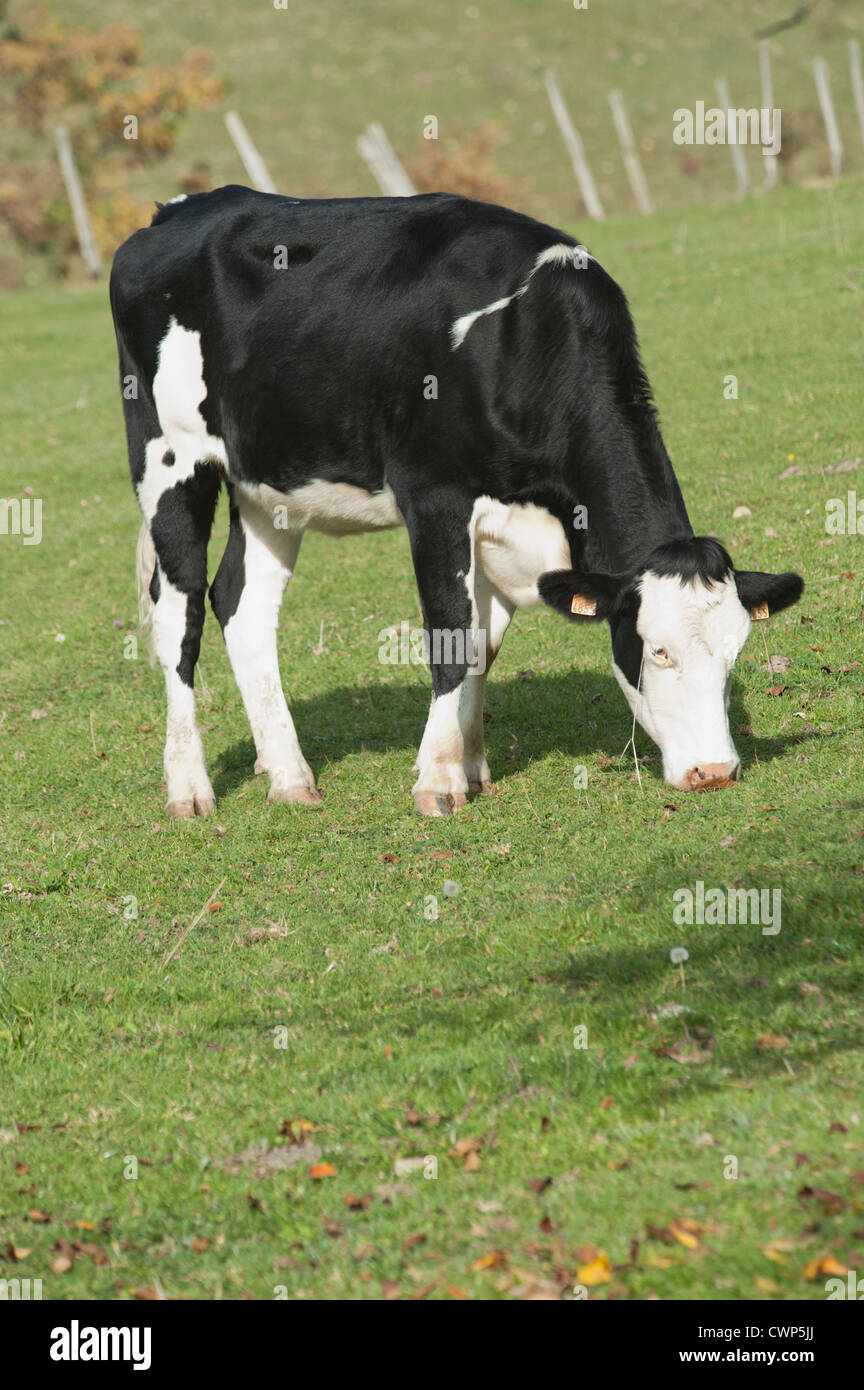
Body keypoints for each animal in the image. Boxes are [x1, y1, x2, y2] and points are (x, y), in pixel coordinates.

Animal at [109, 185, 803, 818]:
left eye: (737, 650)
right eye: (657, 648)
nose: (715, 772)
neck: (523, 339)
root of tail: (180, 209)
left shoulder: (500, 527)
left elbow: (481, 646)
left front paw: (470, 766)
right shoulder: (435, 496)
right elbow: (450, 634)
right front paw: (438, 780)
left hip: (267, 485)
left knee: (242, 604)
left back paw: (290, 777)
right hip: (172, 459)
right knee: (179, 616)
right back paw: (189, 788)